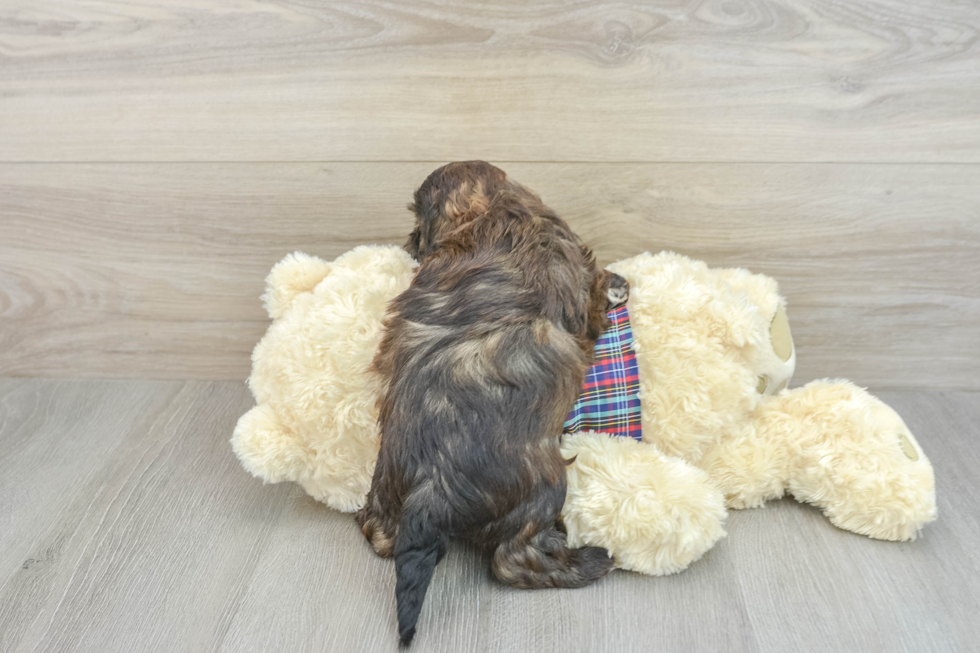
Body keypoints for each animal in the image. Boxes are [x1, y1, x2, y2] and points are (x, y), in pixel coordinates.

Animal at [358, 162, 628, 640]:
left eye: (419, 226)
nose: (410, 242)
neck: (494, 210)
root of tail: (431, 486)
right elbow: (596, 293)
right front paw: (615, 285)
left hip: (387, 484)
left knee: (380, 534)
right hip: (541, 491)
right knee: (514, 561)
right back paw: (592, 561)